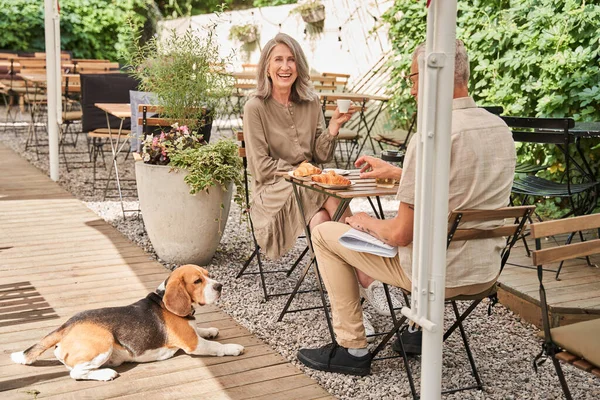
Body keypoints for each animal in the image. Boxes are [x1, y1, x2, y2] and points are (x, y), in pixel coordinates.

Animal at [9, 266, 244, 382]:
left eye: (208, 275)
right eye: (197, 281)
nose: (220, 286)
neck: (163, 301)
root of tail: (67, 325)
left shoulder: (193, 333)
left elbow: (201, 330)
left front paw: (210, 329)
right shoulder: (194, 344)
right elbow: (216, 346)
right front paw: (233, 347)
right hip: (103, 342)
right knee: (76, 373)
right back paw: (105, 374)